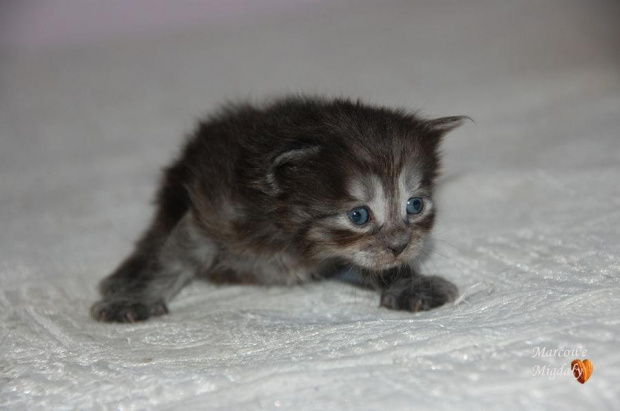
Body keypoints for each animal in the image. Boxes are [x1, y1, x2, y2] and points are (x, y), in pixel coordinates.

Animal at [91, 96, 464, 322]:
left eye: (415, 205)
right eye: (358, 215)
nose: (401, 246)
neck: (288, 232)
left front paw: (409, 284)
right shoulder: (210, 210)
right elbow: (170, 257)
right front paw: (133, 299)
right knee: (154, 238)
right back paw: (125, 278)